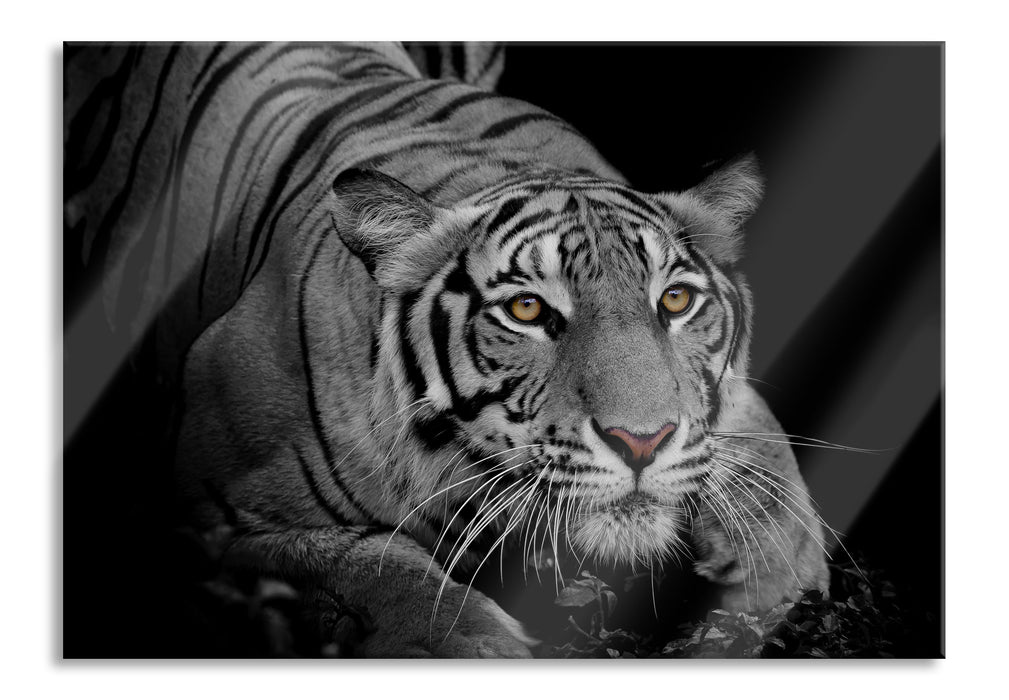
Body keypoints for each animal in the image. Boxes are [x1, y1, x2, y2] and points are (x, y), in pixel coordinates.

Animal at [64, 42, 830, 658]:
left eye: (673, 301)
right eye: (527, 310)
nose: (641, 443)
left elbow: (773, 492)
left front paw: (764, 584)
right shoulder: (212, 519)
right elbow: (382, 573)